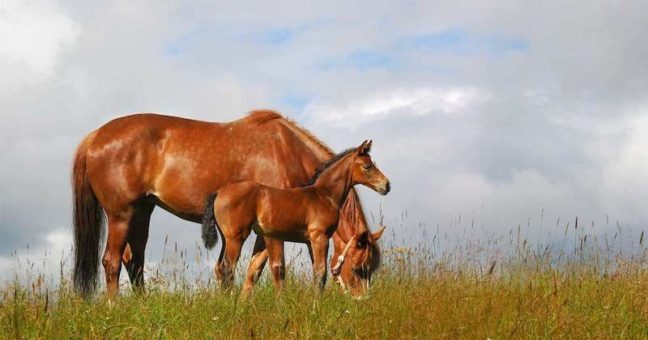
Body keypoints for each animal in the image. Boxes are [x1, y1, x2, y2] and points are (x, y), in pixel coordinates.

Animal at [201, 141, 390, 292]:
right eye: (367, 166)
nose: (386, 185)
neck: (323, 195)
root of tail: (218, 193)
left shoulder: (309, 241)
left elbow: (317, 273)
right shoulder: (319, 237)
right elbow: (320, 273)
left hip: (227, 238)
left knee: (221, 268)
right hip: (236, 237)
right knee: (228, 269)